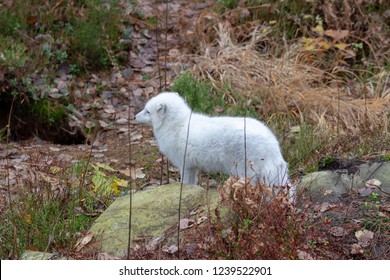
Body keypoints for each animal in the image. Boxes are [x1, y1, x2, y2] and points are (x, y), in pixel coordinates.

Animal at [136, 92, 290, 197]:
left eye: (147, 111)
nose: (134, 116)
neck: (178, 125)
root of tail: (271, 143)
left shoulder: (184, 165)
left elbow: (184, 182)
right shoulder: (193, 166)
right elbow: (192, 183)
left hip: (244, 171)